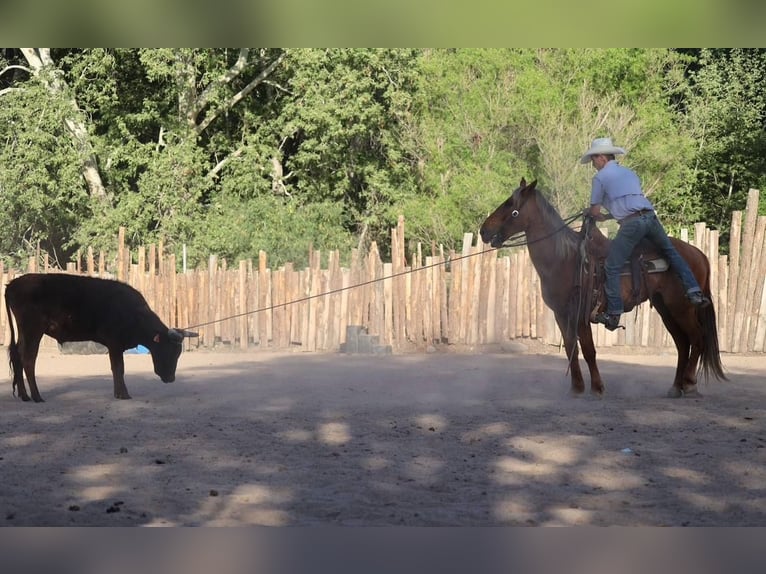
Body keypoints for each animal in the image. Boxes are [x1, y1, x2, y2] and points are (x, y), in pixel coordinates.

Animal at [479, 178, 726, 397]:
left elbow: (589, 350)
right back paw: (675, 387)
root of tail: (699, 254)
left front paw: (597, 388)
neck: (565, 259)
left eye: (510, 205)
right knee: (683, 344)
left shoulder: (580, 314)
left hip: (682, 308)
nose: (483, 230)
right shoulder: (562, 314)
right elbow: (571, 349)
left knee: (697, 338)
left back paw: (690, 383)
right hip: (665, 308)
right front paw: (576, 388)